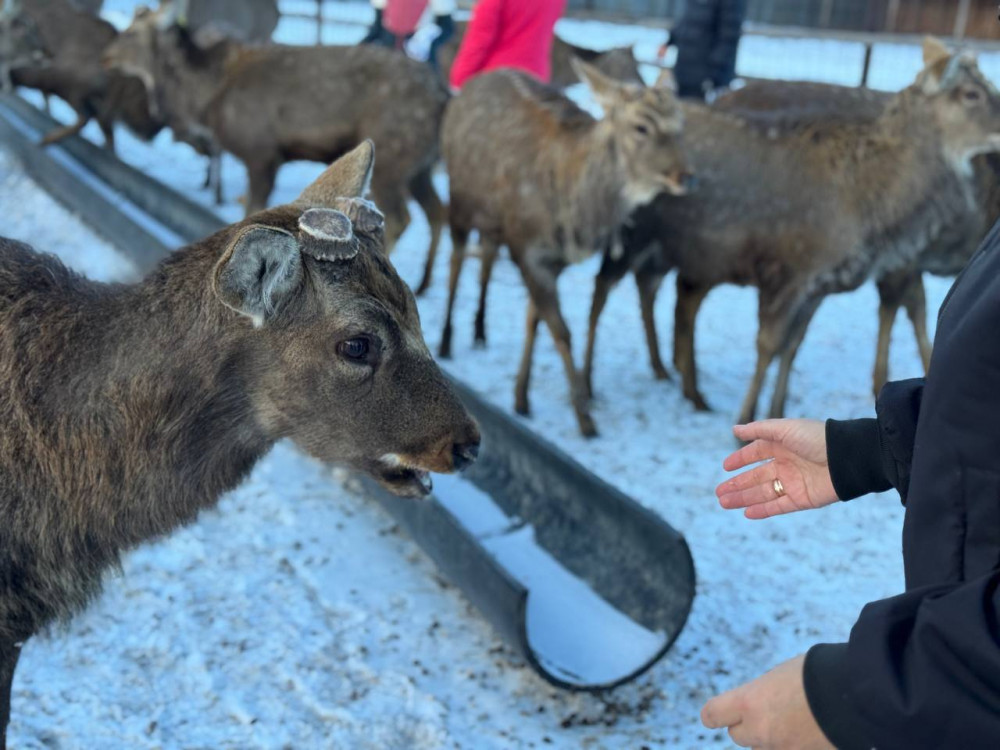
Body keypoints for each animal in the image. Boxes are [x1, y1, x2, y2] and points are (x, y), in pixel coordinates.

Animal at [103, 2, 448, 286]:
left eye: (132, 32)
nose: (107, 56)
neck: (207, 97)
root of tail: (443, 97)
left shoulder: (261, 153)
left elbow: (253, 210)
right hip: (419, 166)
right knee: (436, 210)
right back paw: (425, 282)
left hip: (392, 158)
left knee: (402, 217)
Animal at [442, 64, 692, 440]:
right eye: (641, 126)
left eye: (679, 125)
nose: (684, 176)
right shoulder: (529, 250)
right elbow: (561, 330)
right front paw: (584, 418)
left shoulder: (552, 260)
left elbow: (534, 320)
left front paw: (521, 397)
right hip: (459, 199)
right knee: (456, 260)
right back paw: (445, 341)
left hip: (493, 223)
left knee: (486, 257)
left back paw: (480, 331)